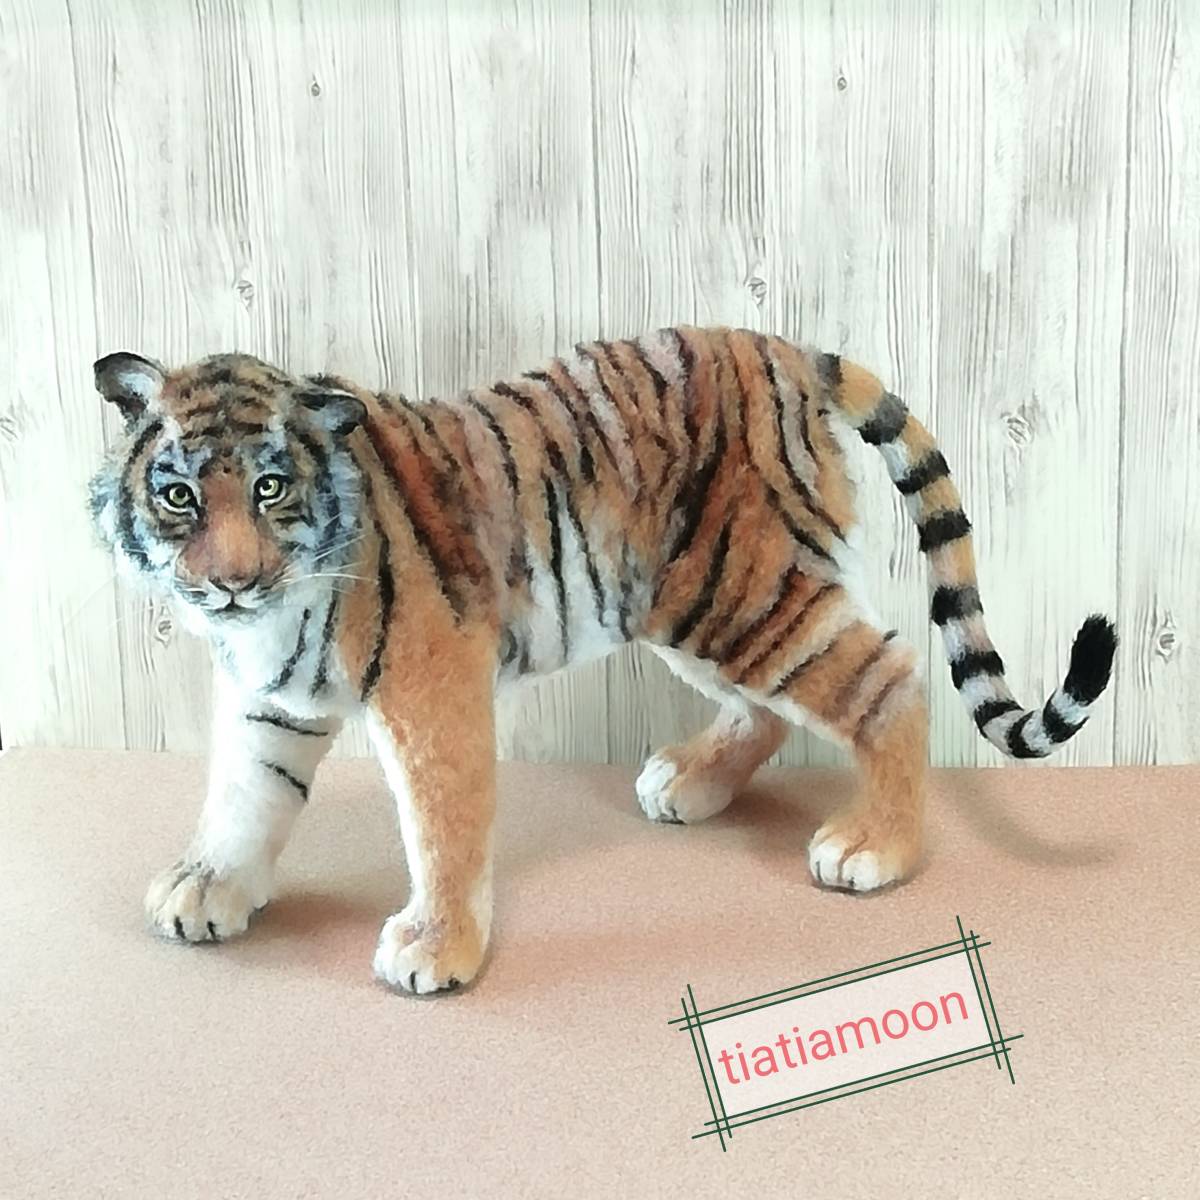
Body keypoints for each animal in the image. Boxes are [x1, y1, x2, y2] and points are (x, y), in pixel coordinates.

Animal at [89, 327, 1116, 994]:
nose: (229, 583)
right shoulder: (268, 697)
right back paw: (690, 785)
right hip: (686, 603)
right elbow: (243, 794)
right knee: (768, 709)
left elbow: (441, 824)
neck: (275, 612)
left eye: (270, 488)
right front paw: (208, 885)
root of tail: (785, 349)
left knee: (890, 680)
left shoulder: (433, 682)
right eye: (179, 495)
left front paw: (438, 946)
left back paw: (877, 848)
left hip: (742, 593)